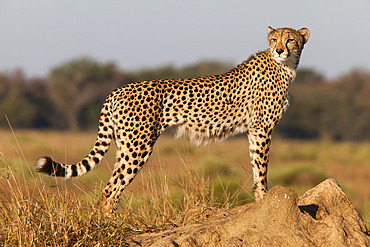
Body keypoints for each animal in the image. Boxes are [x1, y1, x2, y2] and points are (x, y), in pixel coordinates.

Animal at [36, 26, 310, 213]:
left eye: (291, 40)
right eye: (274, 39)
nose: (279, 49)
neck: (285, 67)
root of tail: (118, 89)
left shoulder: (255, 130)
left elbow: (255, 165)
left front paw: (260, 199)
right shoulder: (263, 128)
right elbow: (262, 167)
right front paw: (266, 198)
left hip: (124, 145)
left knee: (110, 186)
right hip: (138, 146)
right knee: (110, 190)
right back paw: (110, 226)